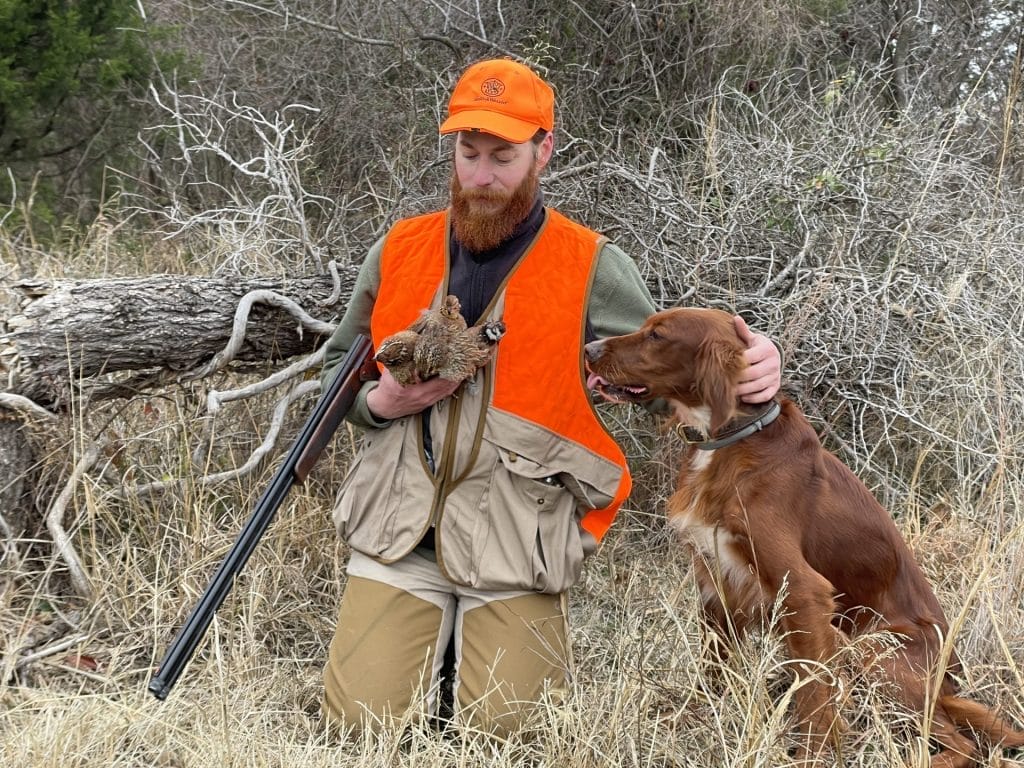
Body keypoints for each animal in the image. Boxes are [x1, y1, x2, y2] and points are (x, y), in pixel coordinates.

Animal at [585, 309, 1024, 768]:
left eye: (657, 335)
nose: (589, 349)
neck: (731, 439)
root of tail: (946, 683)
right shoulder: (717, 581)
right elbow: (713, 667)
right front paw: (694, 717)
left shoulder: (803, 591)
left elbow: (813, 694)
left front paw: (811, 756)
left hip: (871, 650)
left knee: (963, 744)